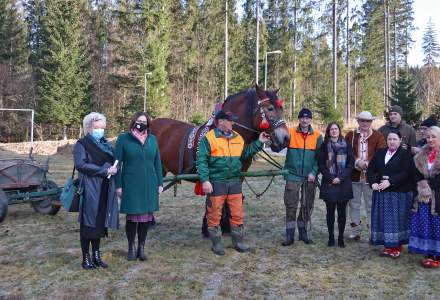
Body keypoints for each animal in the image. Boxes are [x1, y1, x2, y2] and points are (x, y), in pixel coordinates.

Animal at [150, 84, 290, 234]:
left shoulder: (238, 176)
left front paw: (227, 225)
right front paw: (209, 227)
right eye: (270, 108)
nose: (286, 138)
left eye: (281, 108)